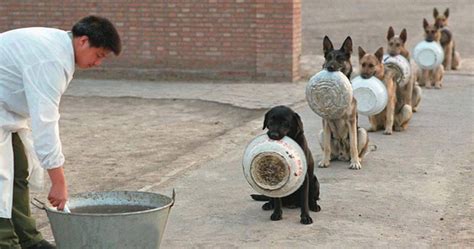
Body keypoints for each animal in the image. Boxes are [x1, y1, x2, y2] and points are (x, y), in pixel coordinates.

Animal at [318, 36, 370, 170]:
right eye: (328, 57)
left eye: (340, 58)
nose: (329, 67)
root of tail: (341, 154)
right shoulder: (326, 122)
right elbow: (327, 146)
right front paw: (324, 161)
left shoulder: (351, 121)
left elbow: (353, 145)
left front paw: (355, 162)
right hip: (321, 132)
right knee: (329, 149)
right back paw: (329, 158)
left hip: (362, 132)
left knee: (359, 150)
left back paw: (357, 159)